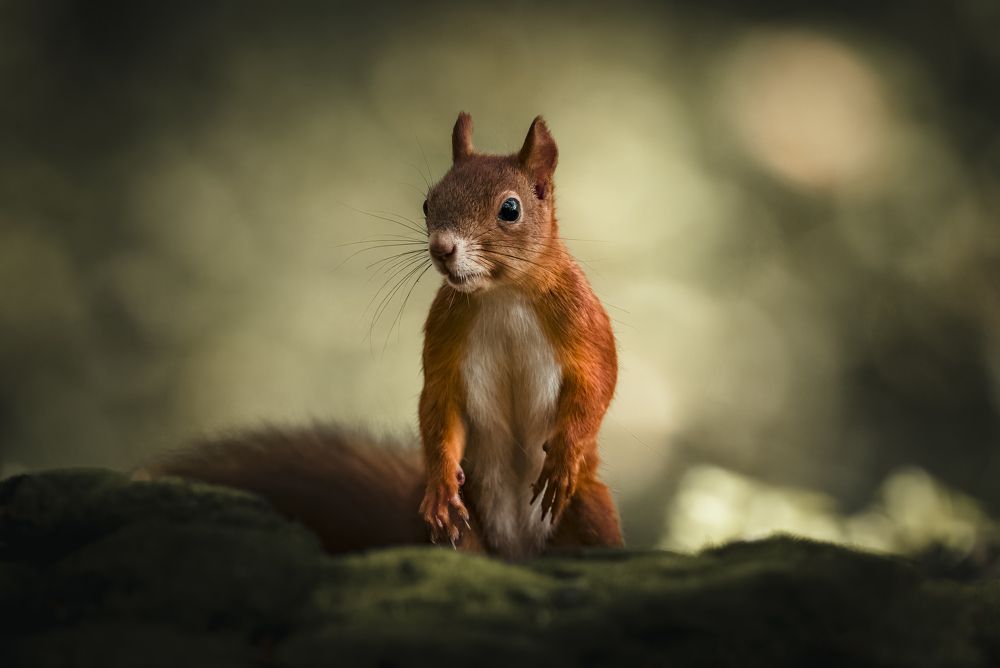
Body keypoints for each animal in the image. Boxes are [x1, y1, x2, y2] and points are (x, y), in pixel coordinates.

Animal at [139, 113, 623, 559]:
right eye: (428, 202)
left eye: (510, 209)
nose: (441, 248)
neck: (501, 294)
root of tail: (517, 553)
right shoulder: (445, 337)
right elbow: (438, 404)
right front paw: (440, 484)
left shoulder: (583, 320)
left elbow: (599, 380)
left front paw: (563, 454)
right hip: (467, 522)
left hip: (588, 507)